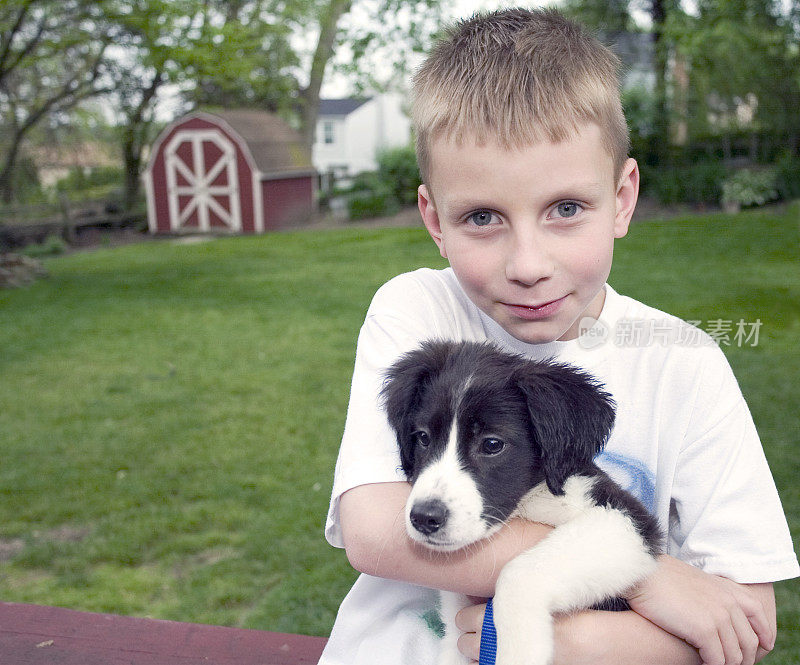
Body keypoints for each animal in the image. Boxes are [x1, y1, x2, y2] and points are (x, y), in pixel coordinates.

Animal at [382, 340, 664, 664]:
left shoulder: (625, 520)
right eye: (423, 438)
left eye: (493, 444)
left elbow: (518, 574)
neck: (530, 501)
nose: (424, 518)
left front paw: (518, 652)